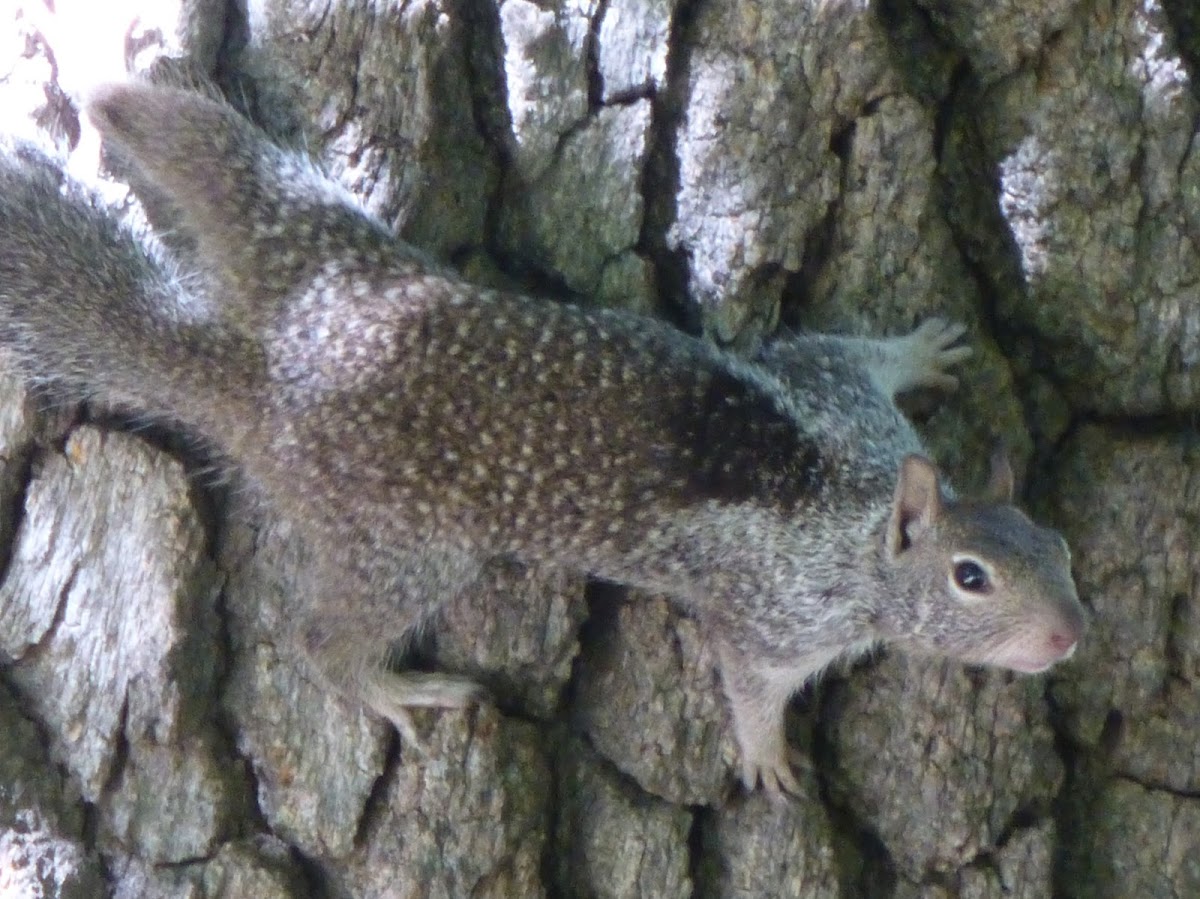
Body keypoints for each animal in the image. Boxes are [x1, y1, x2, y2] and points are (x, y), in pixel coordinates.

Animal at [0, 84, 1089, 796]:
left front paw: (926, 348)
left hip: (323, 243)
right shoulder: (774, 615)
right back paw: (392, 688)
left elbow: (843, 347)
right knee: (318, 640)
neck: (854, 505)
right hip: (411, 543)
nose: (1072, 636)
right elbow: (746, 680)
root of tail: (273, 382)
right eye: (970, 577)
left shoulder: (840, 391)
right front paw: (768, 756)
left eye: (1060, 545)